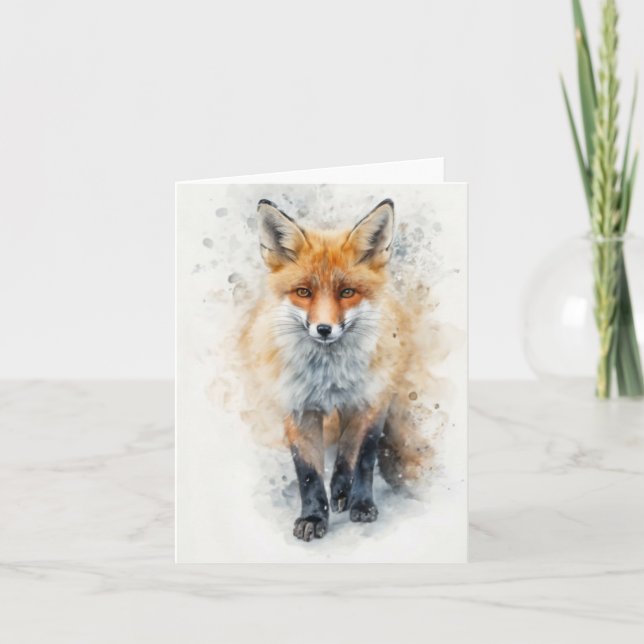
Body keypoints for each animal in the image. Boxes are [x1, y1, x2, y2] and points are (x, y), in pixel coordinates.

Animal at [238, 198, 431, 541]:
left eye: (347, 292)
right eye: (303, 292)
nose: (324, 329)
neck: (329, 378)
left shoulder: (370, 401)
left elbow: (356, 453)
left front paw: (352, 497)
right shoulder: (298, 408)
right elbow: (308, 473)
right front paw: (314, 517)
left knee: (357, 453)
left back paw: (352, 495)